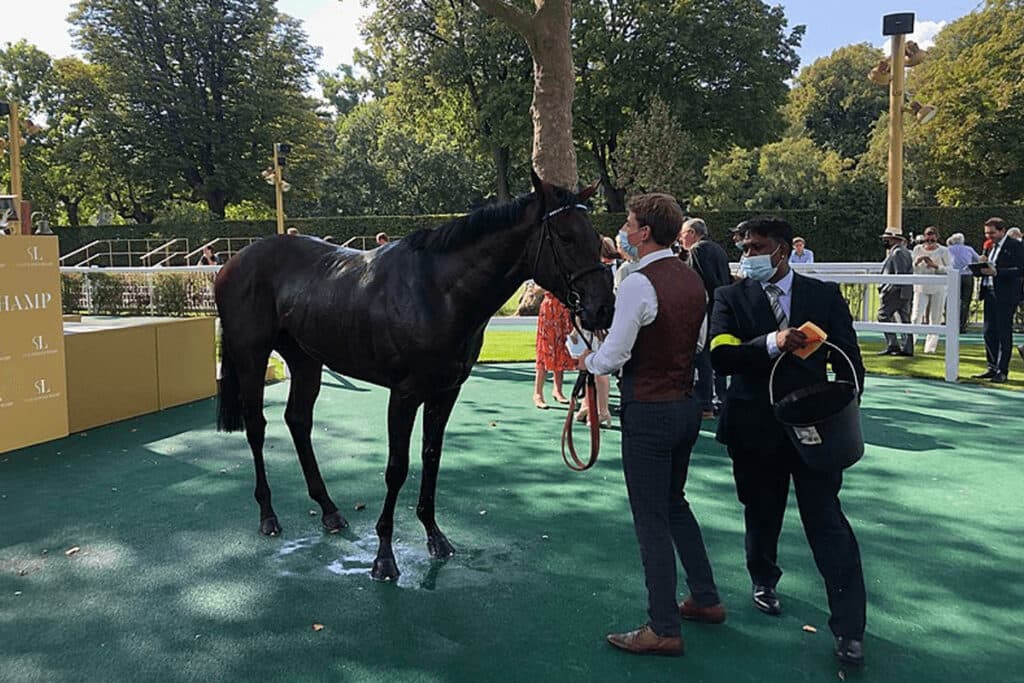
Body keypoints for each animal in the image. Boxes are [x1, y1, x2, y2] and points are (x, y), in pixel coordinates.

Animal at [214, 172, 615, 581]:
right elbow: (397, 467)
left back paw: (329, 509)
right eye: (565, 237)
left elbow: (431, 456)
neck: (440, 292)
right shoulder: (404, 395)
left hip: (306, 360)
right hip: (251, 357)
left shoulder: (446, 391)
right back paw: (268, 514)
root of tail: (233, 263)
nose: (604, 308)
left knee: (298, 420)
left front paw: (435, 537)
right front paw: (384, 557)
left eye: (595, 237)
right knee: (257, 426)